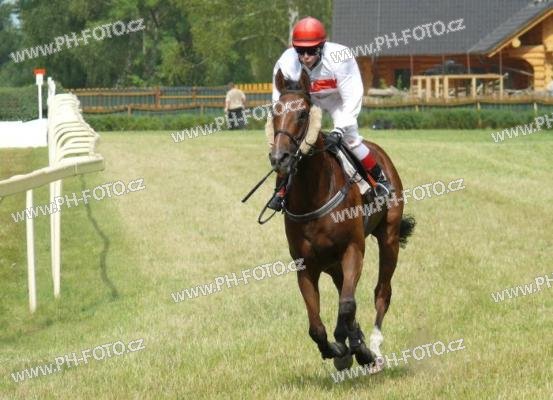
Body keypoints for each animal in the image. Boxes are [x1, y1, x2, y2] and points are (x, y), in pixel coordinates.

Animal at [267, 68, 415, 371]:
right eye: (275, 110)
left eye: (303, 113)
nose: (280, 158)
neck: (314, 193)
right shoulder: (306, 264)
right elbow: (316, 326)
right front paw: (339, 349)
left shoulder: (352, 250)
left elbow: (347, 306)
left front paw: (356, 348)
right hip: (332, 263)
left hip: (389, 238)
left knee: (381, 292)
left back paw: (374, 348)